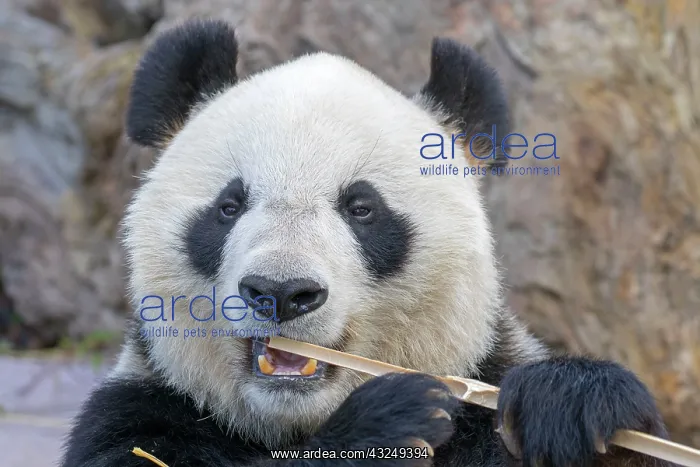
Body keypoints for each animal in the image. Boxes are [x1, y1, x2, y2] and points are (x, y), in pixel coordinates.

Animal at [60, 18, 673, 467]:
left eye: (362, 209)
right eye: (228, 207)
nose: (281, 293)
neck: (292, 421)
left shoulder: (486, 381)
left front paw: (574, 403)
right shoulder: (142, 406)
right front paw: (389, 420)